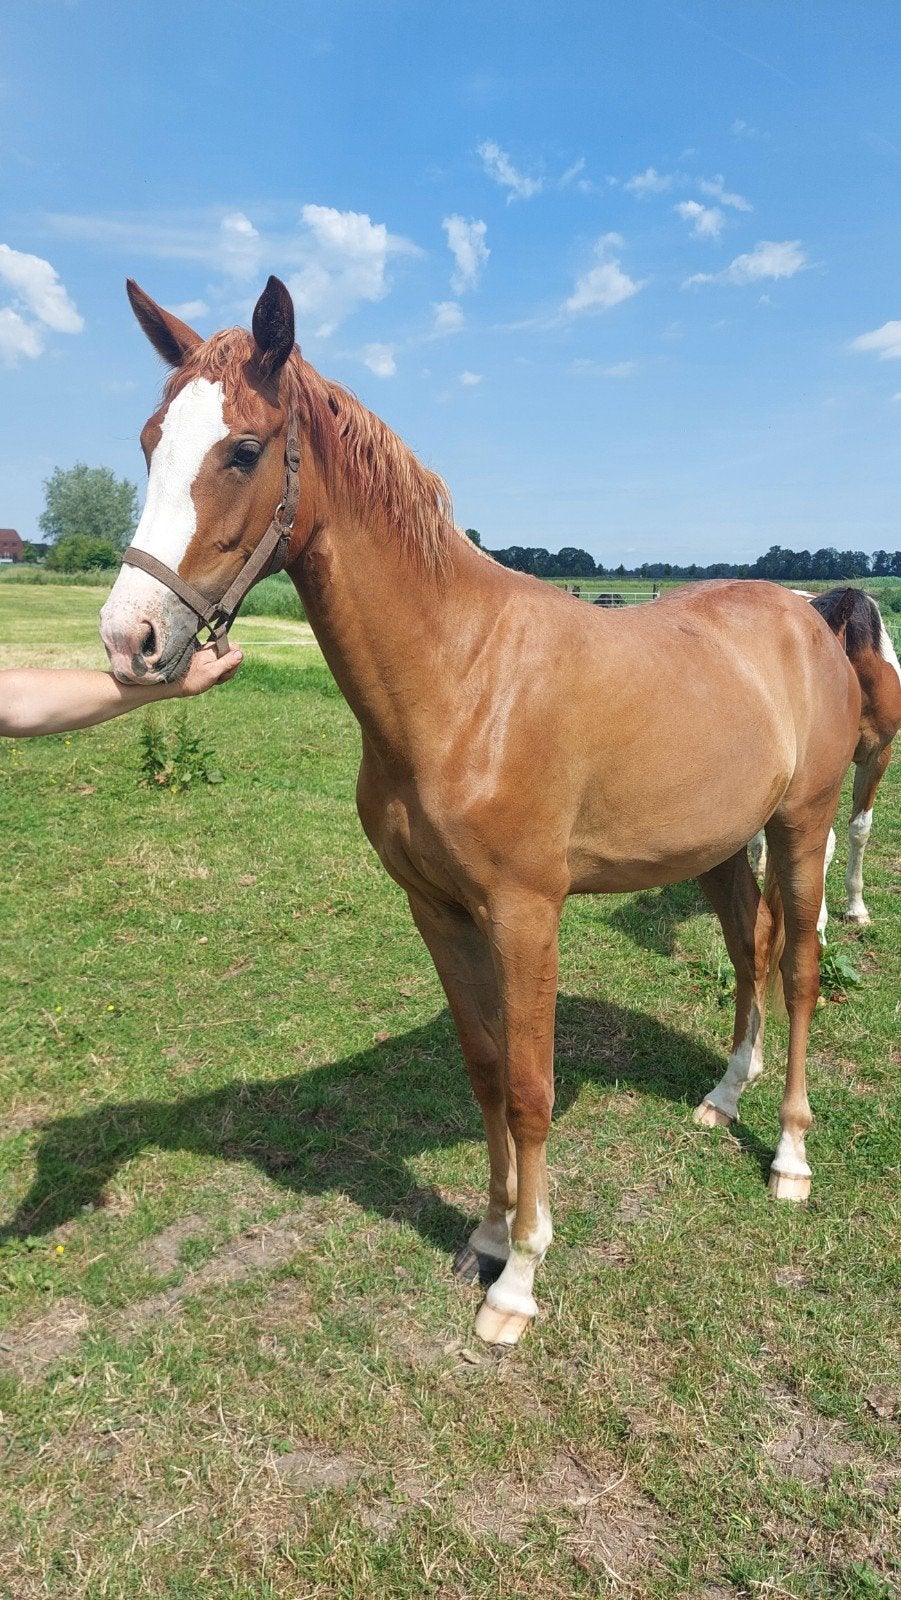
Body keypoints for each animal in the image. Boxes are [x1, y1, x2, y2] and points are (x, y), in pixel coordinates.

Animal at [100, 276, 863, 1347]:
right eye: (148, 440)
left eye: (243, 449)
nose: (129, 638)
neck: (461, 677)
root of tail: (805, 616)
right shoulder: (439, 910)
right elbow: (485, 1072)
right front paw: (489, 1235)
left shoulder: (525, 914)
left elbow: (532, 1090)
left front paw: (521, 1279)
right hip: (716, 849)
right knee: (746, 950)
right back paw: (721, 1095)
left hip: (802, 827)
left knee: (794, 971)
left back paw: (789, 1156)